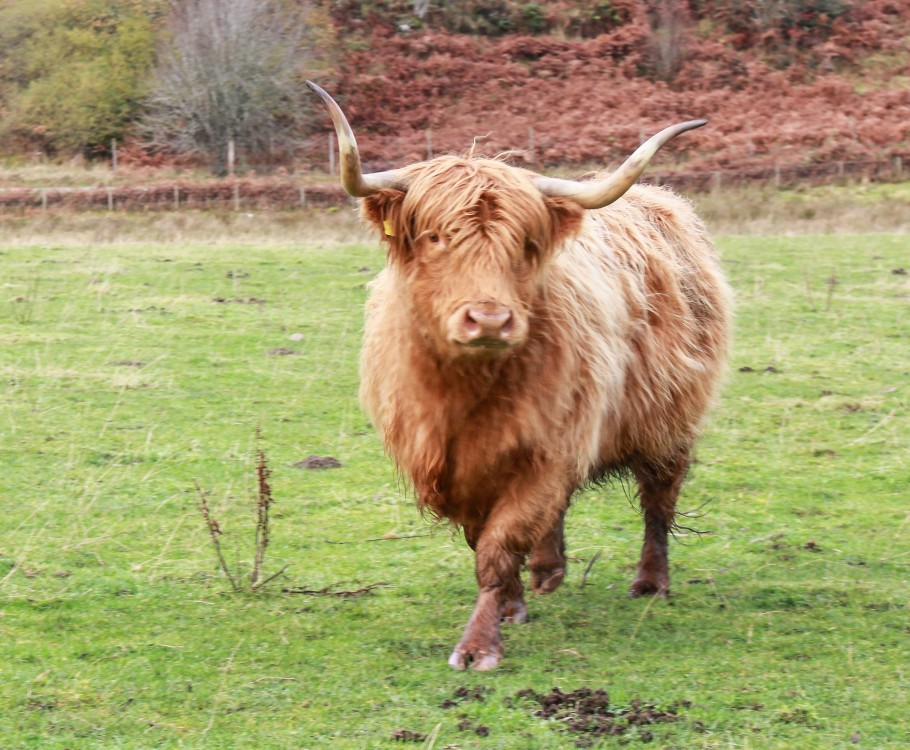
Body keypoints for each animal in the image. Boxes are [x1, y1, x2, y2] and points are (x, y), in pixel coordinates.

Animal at [306, 83, 732, 676]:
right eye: (434, 237)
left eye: (525, 244)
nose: (488, 320)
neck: (466, 393)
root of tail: (664, 204)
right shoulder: (460, 466)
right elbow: (484, 539)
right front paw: (512, 605)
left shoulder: (546, 450)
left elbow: (499, 546)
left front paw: (479, 645)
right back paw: (548, 571)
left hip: (668, 419)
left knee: (658, 499)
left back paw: (650, 582)